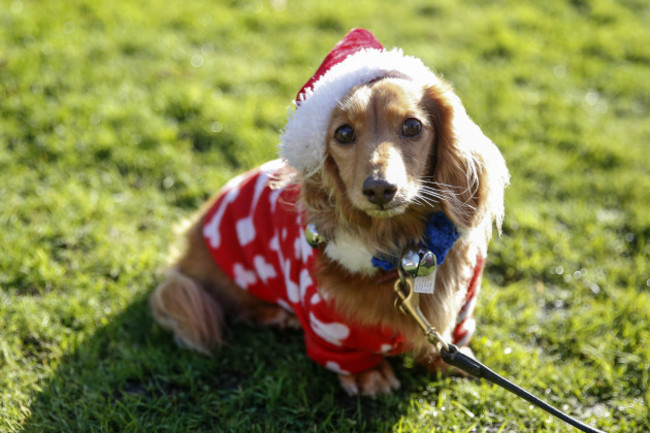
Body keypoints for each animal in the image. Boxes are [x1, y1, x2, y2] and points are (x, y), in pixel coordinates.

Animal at [148, 28, 506, 396]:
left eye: (412, 126)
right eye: (344, 133)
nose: (380, 188)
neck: (402, 250)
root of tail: (188, 244)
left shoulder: (463, 305)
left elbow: (448, 338)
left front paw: (449, 360)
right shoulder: (327, 320)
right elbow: (346, 352)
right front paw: (368, 375)